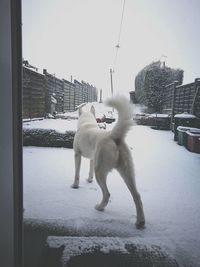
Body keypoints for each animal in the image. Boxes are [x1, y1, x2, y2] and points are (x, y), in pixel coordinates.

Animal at [72, 96, 145, 228]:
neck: (87, 123)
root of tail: (113, 136)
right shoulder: (92, 158)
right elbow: (89, 170)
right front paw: (89, 180)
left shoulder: (77, 155)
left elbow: (77, 173)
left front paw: (75, 186)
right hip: (127, 173)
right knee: (137, 196)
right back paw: (140, 222)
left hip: (100, 172)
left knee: (107, 194)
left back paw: (99, 208)